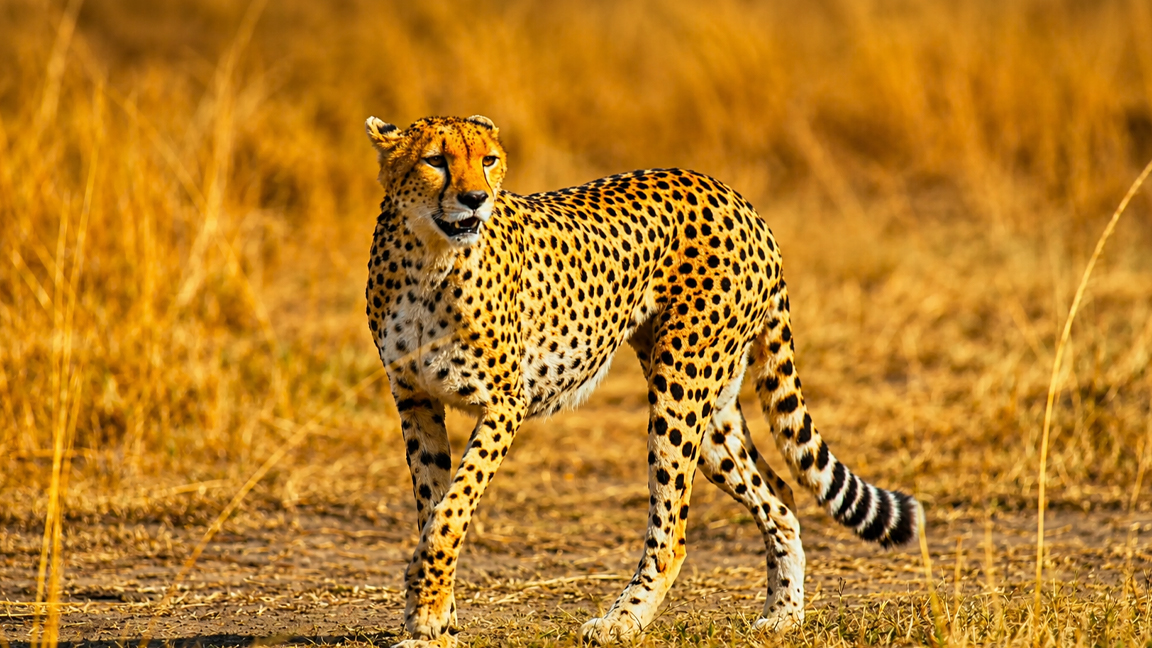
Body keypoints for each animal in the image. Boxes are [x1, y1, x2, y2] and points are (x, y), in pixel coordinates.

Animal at [363, 114, 921, 647]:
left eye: (489, 160)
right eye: (435, 160)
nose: (476, 199)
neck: (427, 258)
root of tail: (734, 196)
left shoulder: (505, 403)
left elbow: (451, 509)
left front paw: (427, 607)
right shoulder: (414, 400)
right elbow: (433, 504)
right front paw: (433, 619)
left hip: (681, 386)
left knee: (672, 531)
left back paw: (622, 622)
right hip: (710, 407)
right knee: (780, 495)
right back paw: (783, 616)